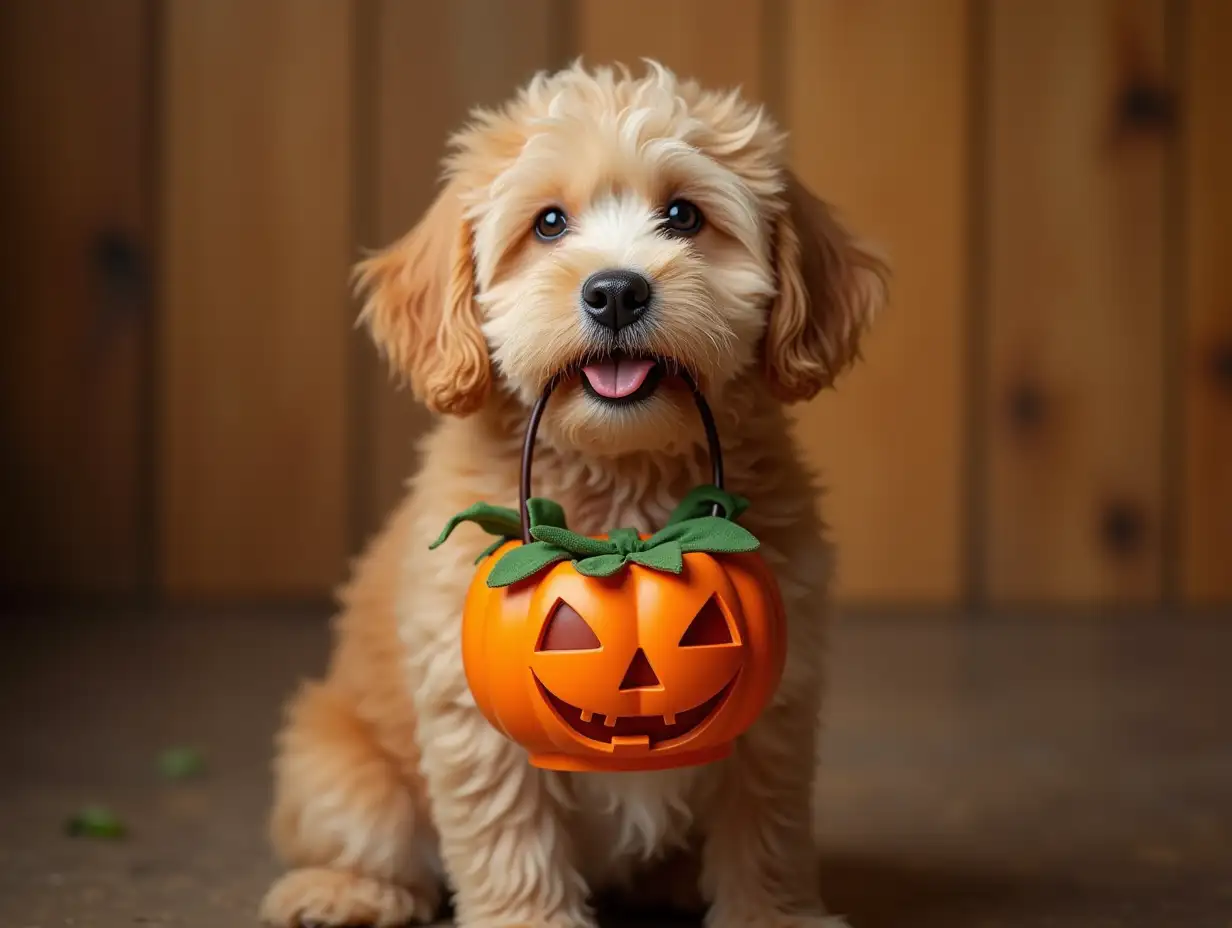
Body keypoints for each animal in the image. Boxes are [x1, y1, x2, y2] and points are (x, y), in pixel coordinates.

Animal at [262, 59, 887, 926]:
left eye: (683, 215)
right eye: (550, 224)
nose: (616, 291)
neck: (622, 486)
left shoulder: (777, 703)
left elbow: (765, 826)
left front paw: (774, 916)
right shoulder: (473, 709)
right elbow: (508, 835)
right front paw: (528, 919)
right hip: (343, 772)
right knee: (370, 840)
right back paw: (346, 890)